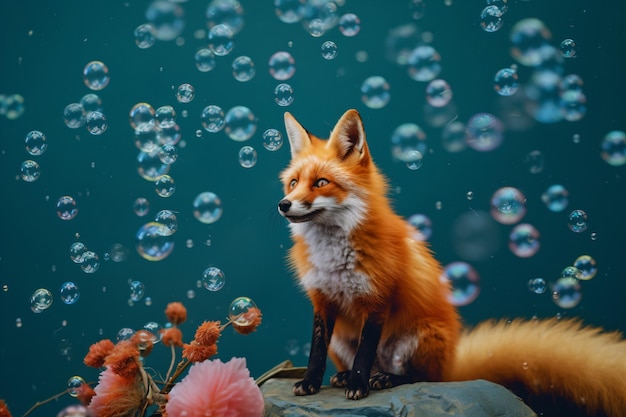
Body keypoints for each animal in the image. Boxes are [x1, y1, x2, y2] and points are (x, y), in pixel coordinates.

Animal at [276, 109, 624, 416]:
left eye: (321, 183)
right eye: (293, 183)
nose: (283, 204)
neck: (334, 256)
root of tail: (453, 367)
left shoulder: (378, 301)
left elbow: (365, 352)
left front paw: (358, 387)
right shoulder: (322, 301)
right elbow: (316, 350)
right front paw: (310, 382)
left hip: (420, 338)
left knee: (420, 377)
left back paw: (384, 378)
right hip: (342, 340)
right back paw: (347, 376)